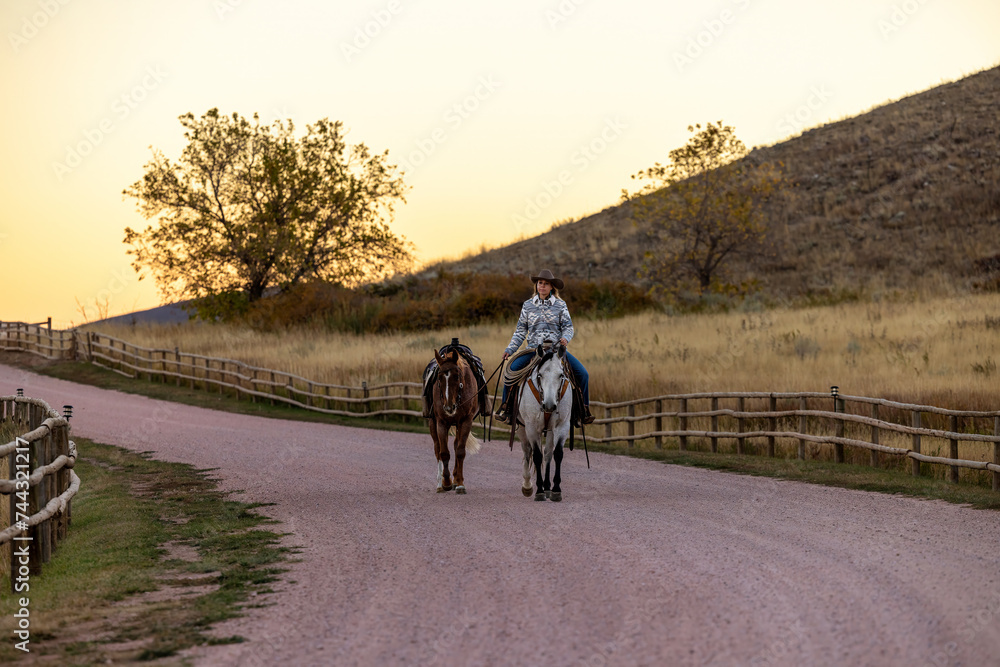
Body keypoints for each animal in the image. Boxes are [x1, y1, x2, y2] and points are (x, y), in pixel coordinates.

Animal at [428, 348, 482, 494]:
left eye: (457, 376)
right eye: (439, 378)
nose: (449, 407)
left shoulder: (466, 422)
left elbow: (460, 451)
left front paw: (460, 483)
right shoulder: (441, 422)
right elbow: (444, 453)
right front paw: (446, 482)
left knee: (456, 445)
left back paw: (456, 479)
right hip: (433, 424)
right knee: (437, 449)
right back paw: (440, 484)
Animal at [516, 343, 572, 501]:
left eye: (561, 375)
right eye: (540, 375)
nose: (549, 405)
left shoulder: (562, 426)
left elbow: (557, 453)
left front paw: (556, 490)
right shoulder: (531, 427)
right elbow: (536, 455)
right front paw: (539, 491)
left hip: (551, 430)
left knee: (547, 453)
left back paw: (547, 487)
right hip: (522, 428)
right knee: (527, 451)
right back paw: (527, 486)